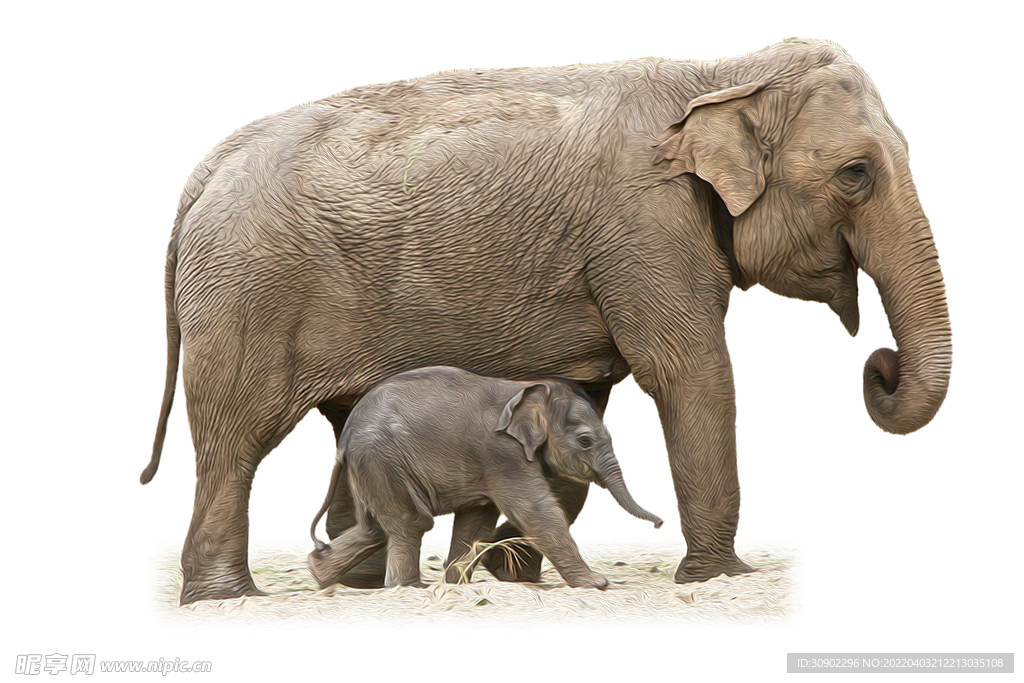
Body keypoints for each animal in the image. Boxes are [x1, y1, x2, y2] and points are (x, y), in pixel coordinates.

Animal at [309, 366, 663, 589]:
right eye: (585, 441)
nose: (660, 524)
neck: (527, 389)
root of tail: (344, 439)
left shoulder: (487, 462)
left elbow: (476, 520)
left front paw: (455, 585)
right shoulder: (501, 453)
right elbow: (535, 511)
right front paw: (598, 584)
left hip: (372, 466)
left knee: (375, 529)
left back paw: (318, 574)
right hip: (382, 459)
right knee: (411, 522)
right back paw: (409, 588)